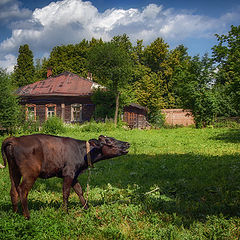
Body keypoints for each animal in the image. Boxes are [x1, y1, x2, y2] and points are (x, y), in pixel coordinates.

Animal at [0, 133, 130, 219]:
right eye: (109, 141)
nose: (127, 143)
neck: (82, 153)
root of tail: (14, 139)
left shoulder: (74, 175)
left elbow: (79, 191)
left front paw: (86, 208)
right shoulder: (68, 173)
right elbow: (66, 192)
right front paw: (65, 211)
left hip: (13, 170)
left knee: (13, 190)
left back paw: (15, 213)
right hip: (30, 173)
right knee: (22, 190)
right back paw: (27, 216)